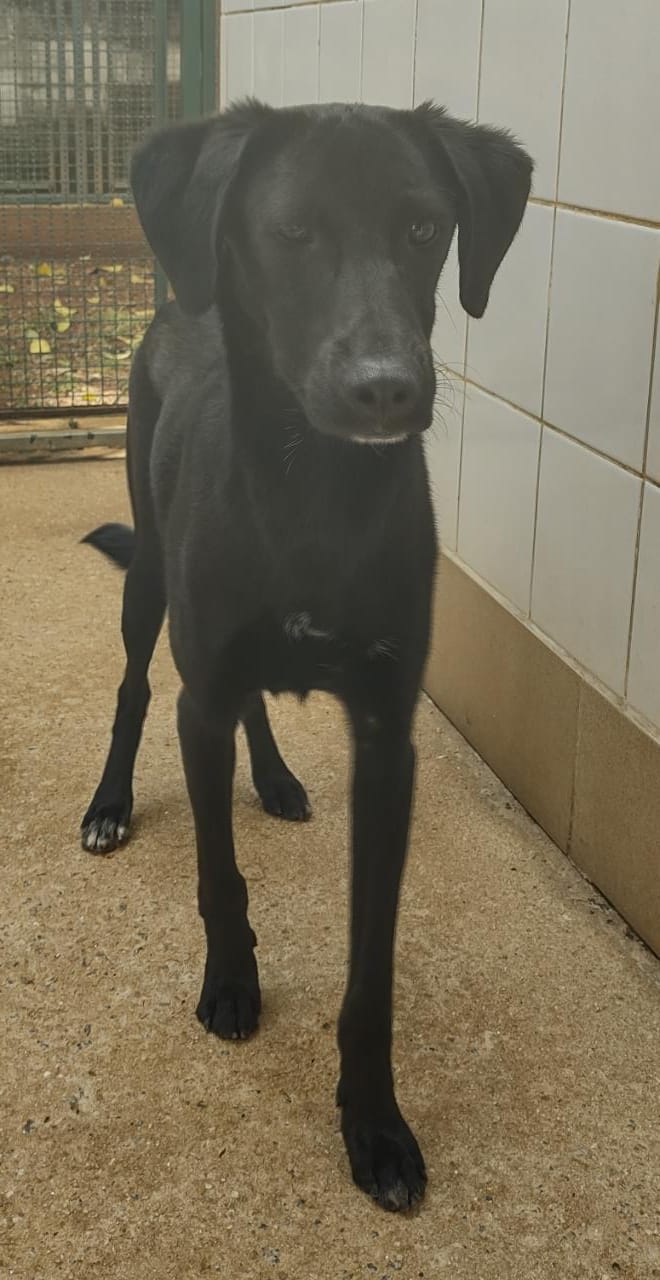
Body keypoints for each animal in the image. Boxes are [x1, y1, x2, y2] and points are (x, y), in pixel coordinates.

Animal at [81, 99, 532, 1208]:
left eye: (424, 228)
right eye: (290, 232)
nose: (388, 391)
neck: (313, 494)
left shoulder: (386, 741)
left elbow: (372, 967)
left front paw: (375, 1121)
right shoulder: (201, 696)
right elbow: (219, 874)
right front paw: (231, 981)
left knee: (249, 701)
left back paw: (277, 778)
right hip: (148, 577)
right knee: (133, 688)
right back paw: (111, 802)